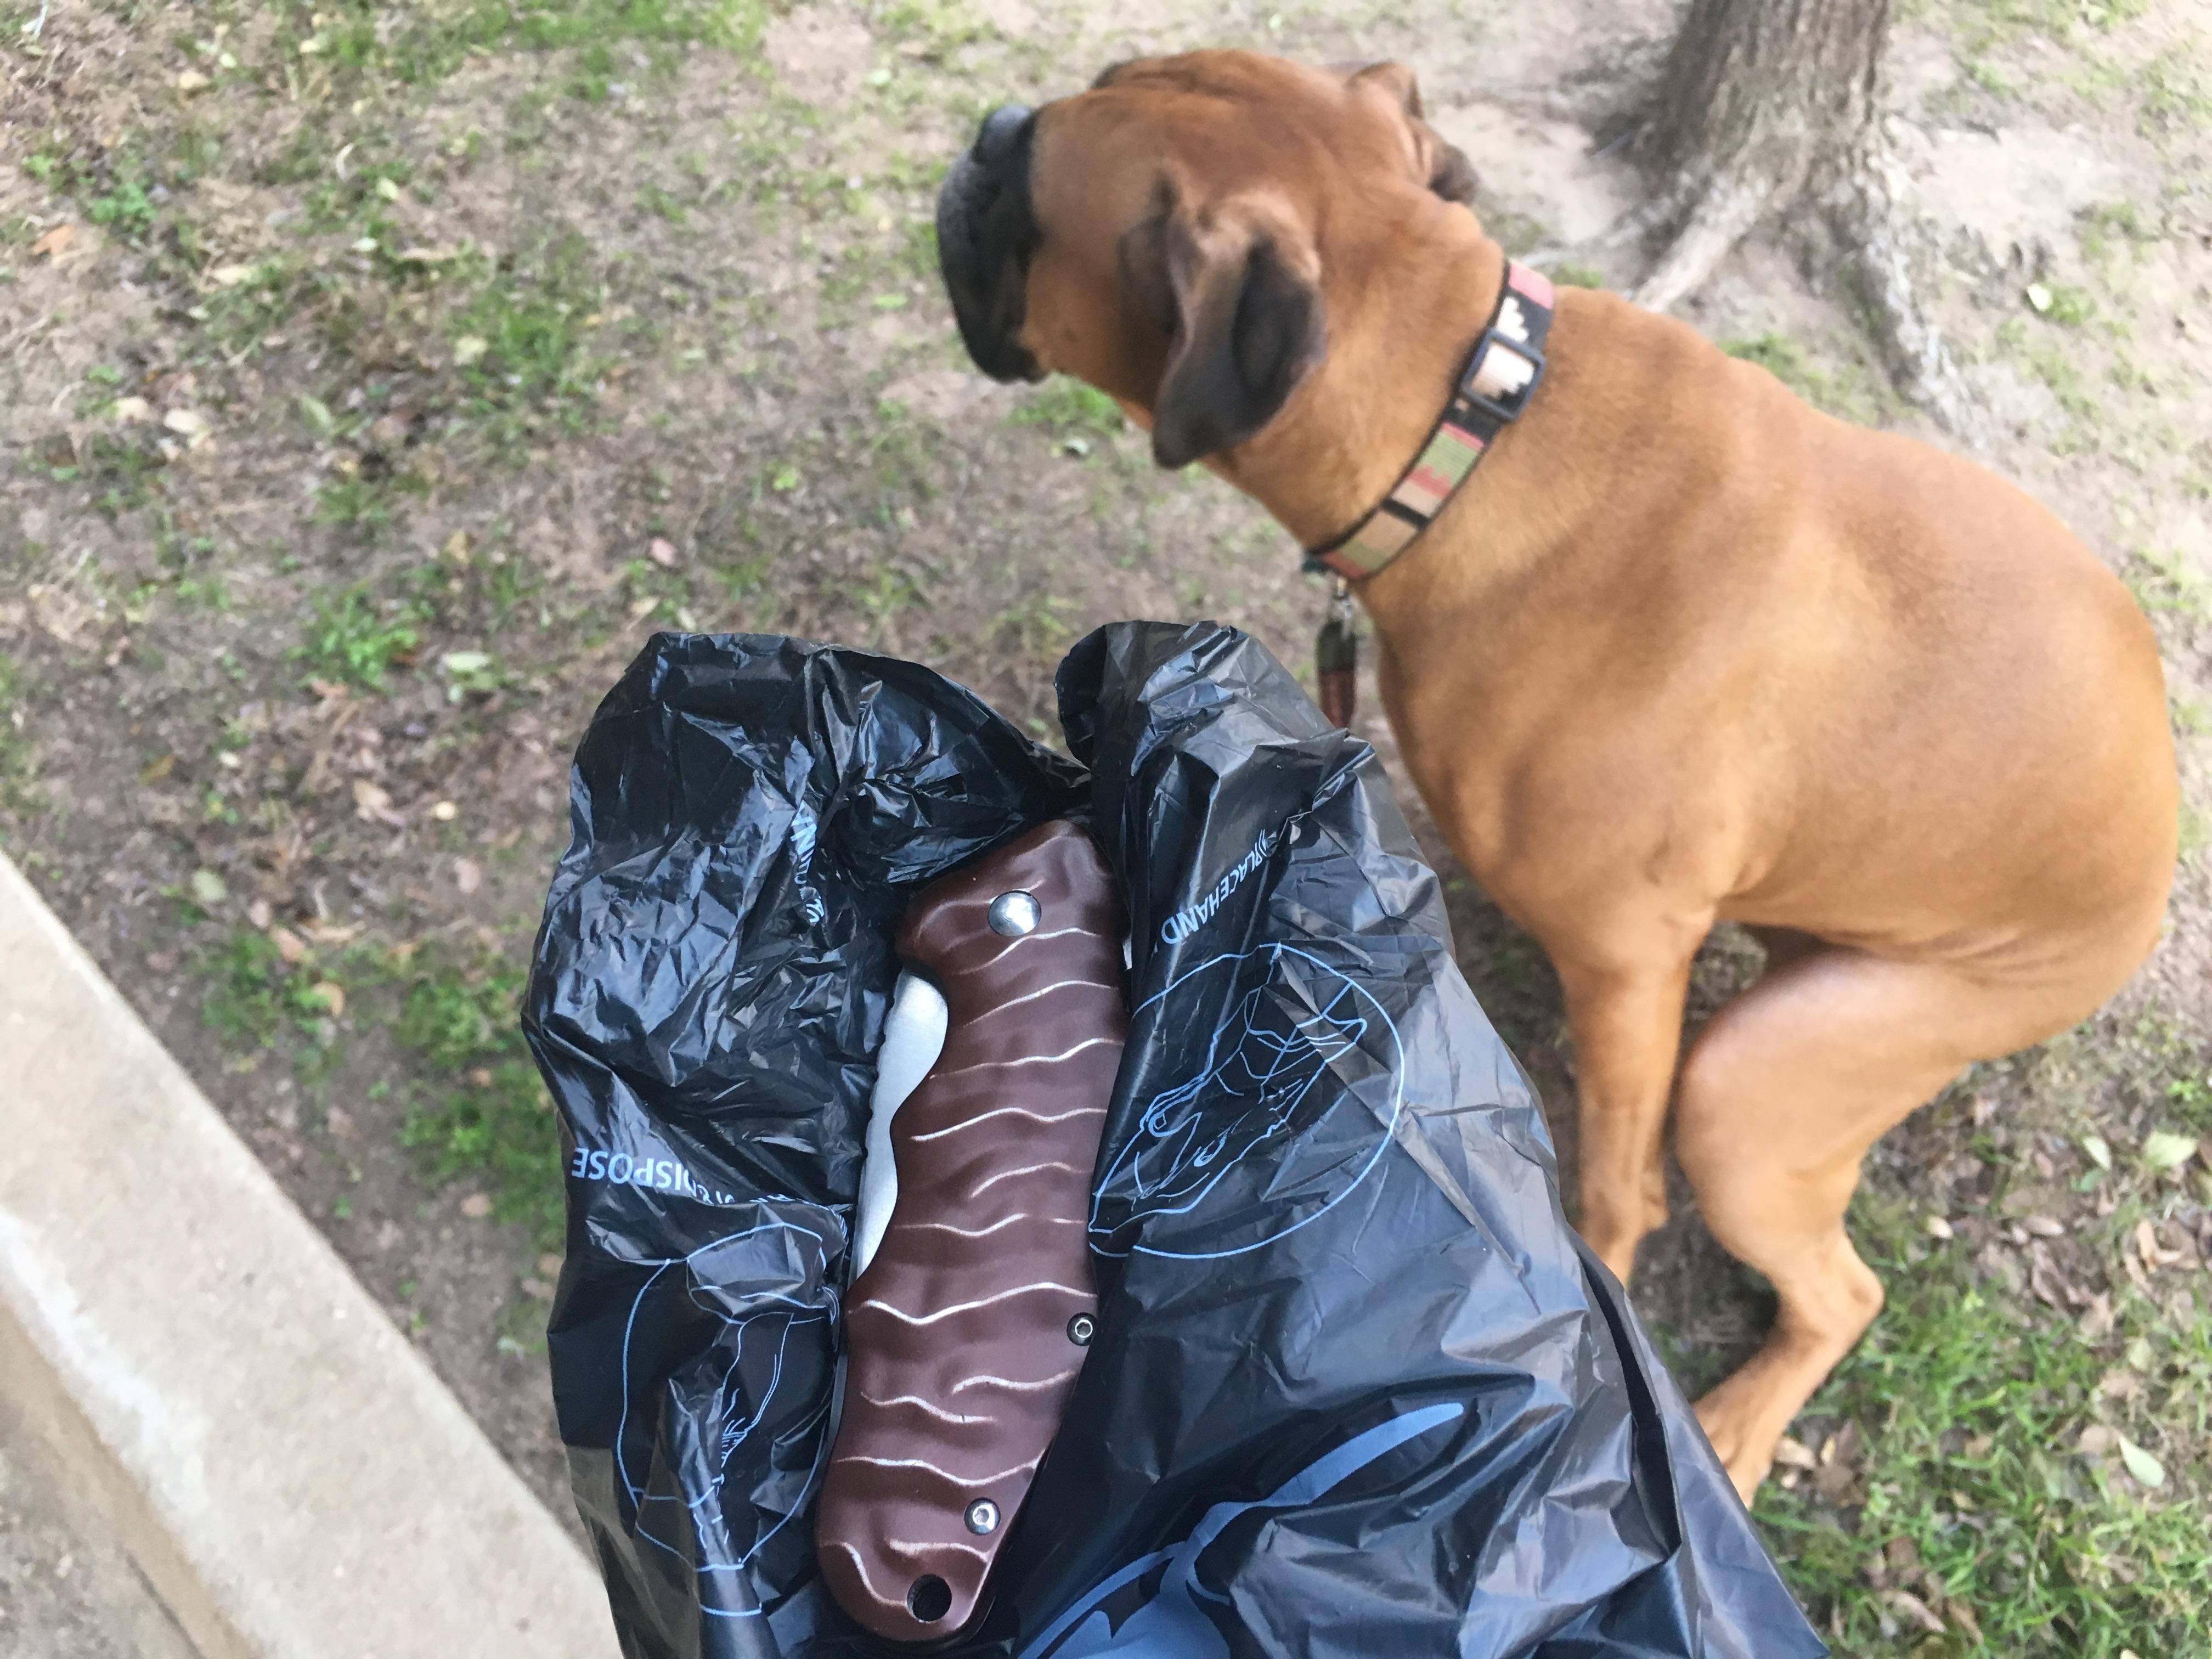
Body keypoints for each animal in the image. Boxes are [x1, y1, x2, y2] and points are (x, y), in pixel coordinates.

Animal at [933, 49, 2178, 1499]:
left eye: (1028, 192)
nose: (984, 133)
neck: (1477, 431)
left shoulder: (1633, 969)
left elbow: (1612, 1193)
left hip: (1753, 1090)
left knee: (1842, 1291)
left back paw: (1740, 1425)